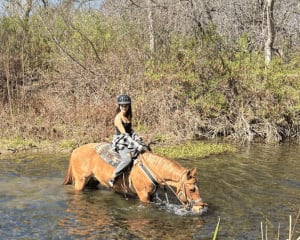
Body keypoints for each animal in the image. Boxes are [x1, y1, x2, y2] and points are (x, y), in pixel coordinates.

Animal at [63, 142, 207, 212]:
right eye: (192, 189)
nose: (200, 207)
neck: (152, 169)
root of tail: (75, 151)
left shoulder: (151, 194)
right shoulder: (143, 195)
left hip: (92, 182)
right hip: (81, 181)